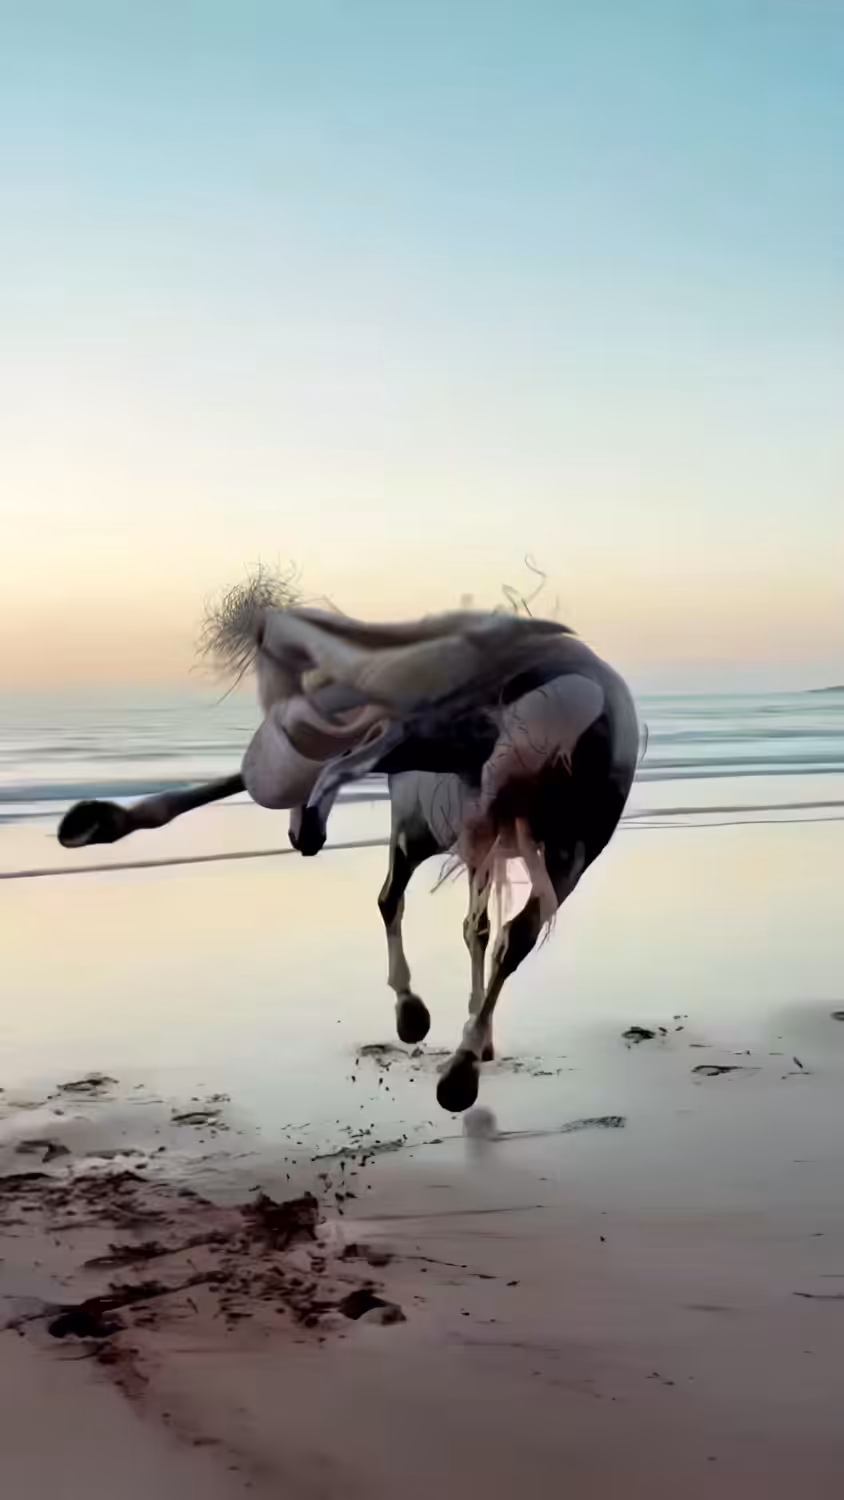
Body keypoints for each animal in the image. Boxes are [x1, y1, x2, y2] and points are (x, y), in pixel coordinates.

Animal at [57, 600, 639, 1111]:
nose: (300, 838)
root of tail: (574, 693)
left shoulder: (432, 829)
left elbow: (407, 905)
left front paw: (422, 1023)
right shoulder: (482, 837)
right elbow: (476, 929)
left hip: (446, 782)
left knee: (374, 772)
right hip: (536, 842)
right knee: (502, 932)